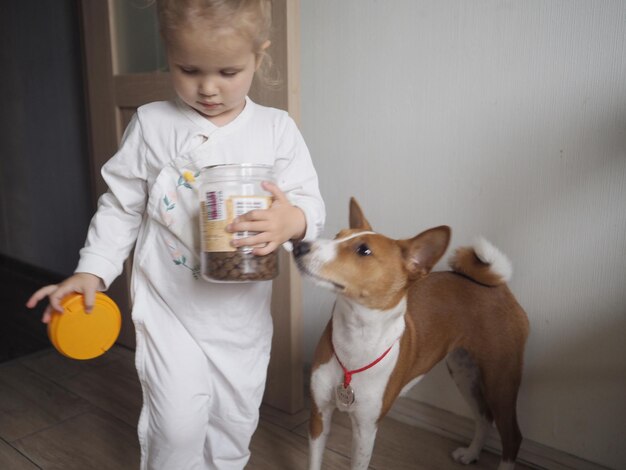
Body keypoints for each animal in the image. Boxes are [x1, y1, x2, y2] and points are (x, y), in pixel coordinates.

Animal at [292, 198, 528, 470]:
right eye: (336, 236)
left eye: (363, 250)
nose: (299, 246)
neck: (356, 339)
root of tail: (499, 287)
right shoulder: (319, 414)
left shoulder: (366, 429)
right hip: (464, 373)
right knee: (484, 418)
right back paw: (471, 453)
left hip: (500, 381)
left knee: (512, 436)